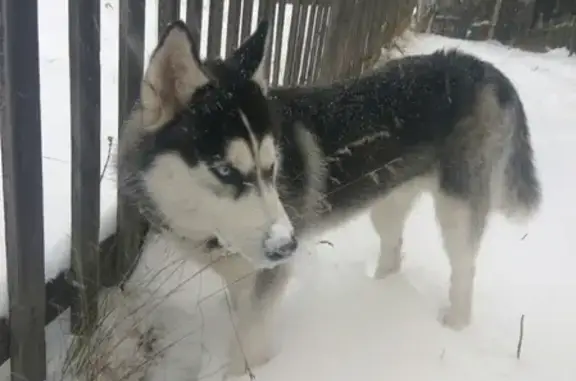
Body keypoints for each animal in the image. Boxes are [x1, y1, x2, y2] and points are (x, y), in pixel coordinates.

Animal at [74, 18, 536, 380]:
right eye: (225, 170)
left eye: (272, 166)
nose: (288, 245)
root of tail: (481, 66)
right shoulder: (246, 277)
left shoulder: (267, 281)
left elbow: (249, 347)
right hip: (387, 200)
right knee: (393, 247)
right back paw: (380, 293)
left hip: (457, 208)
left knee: (464, 269)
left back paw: (453, 326)